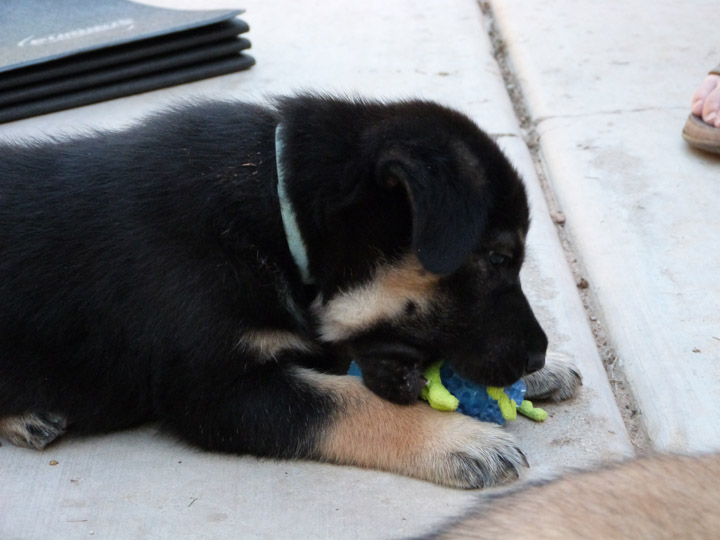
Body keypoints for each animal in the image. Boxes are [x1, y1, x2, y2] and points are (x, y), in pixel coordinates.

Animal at [0, 97, 580, 490]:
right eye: (499, 259)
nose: (536, 357)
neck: (279, 214)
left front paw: (544, 374)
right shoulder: (218, 392)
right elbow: (347, 402)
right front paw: (457, 438)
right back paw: (24, 414)